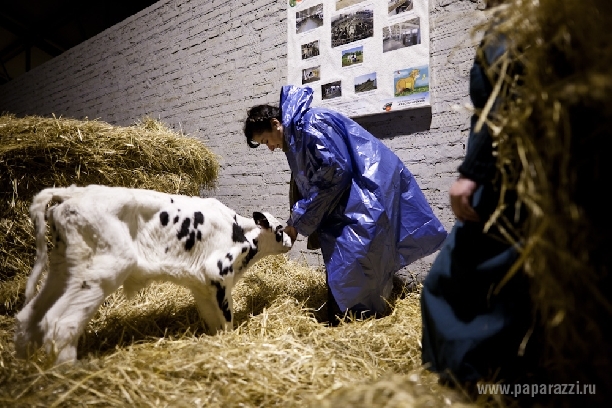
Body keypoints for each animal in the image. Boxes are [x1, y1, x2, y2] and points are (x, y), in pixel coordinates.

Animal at [13, 184, 292, 364]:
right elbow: (227, 320)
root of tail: (73, 192)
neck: (241, 234)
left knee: (29, 316)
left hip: (63, 268)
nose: (291, 240)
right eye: (279, 229)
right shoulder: (219, 274)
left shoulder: (203, 286)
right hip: (104, 270)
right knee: (61, 323)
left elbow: (214, 322)